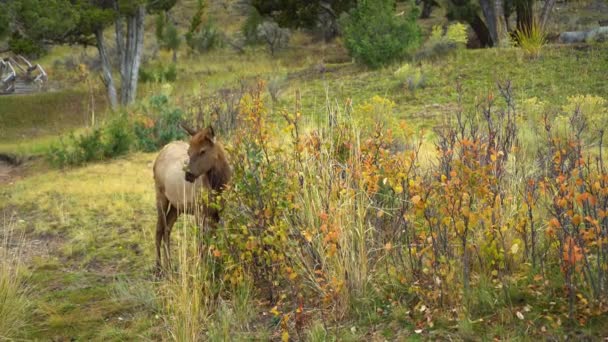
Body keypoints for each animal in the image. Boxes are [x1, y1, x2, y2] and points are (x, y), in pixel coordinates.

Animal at [152, 124, 230, 272]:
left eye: (203, 151)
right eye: (189, 152)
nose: (188, 174)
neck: (219, 185)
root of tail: (160, 153)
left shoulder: (218, 213)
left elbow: (214, 239)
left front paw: (215, 266)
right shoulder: (200, 212)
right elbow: (201, 242)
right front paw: (202, 267)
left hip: (177, 206)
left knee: (167, 229)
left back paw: (169, 265)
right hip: (160, 195)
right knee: (159, 229)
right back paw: (159, 267)